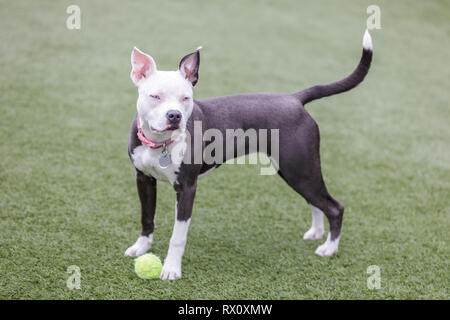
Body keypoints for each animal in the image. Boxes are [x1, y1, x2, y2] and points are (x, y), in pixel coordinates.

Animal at [123, 30, 372, 280]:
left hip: (300, 171)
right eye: (155, 96)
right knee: (316, 201)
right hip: (298, 173)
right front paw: (141, 247)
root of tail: (295, 99)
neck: (160, 143)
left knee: (335, 207)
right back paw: (317, 232)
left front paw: (171, 269)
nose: (174, 115)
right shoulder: (143, 180)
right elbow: (147, 217)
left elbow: (177, 236)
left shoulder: (186, 188)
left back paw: (329, 248)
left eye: (186, 98)